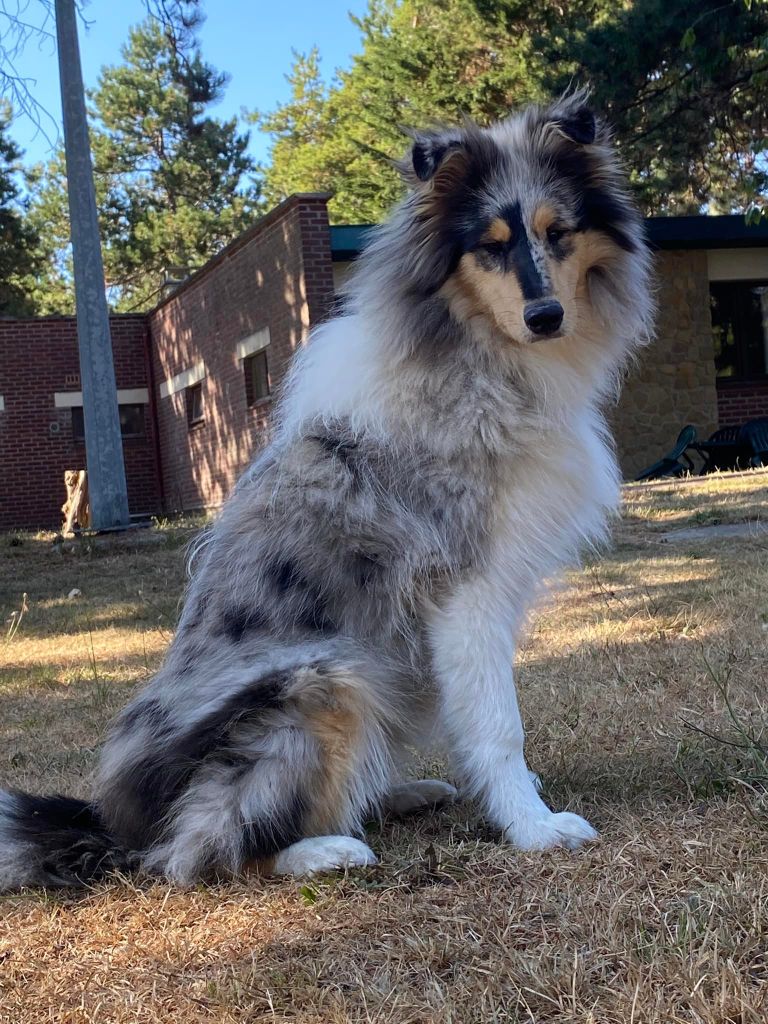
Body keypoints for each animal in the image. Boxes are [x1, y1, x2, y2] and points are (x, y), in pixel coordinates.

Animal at [0, 90, 651, 888]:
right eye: (492, 245)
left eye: (558, 232)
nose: (546, 317)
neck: (473, 354)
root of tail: (114, 826)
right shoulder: (464, 587)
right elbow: (499, 724)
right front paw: (533, 828)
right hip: (330, 678)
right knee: (202, 850)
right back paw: (327, 848)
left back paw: (398, 793)